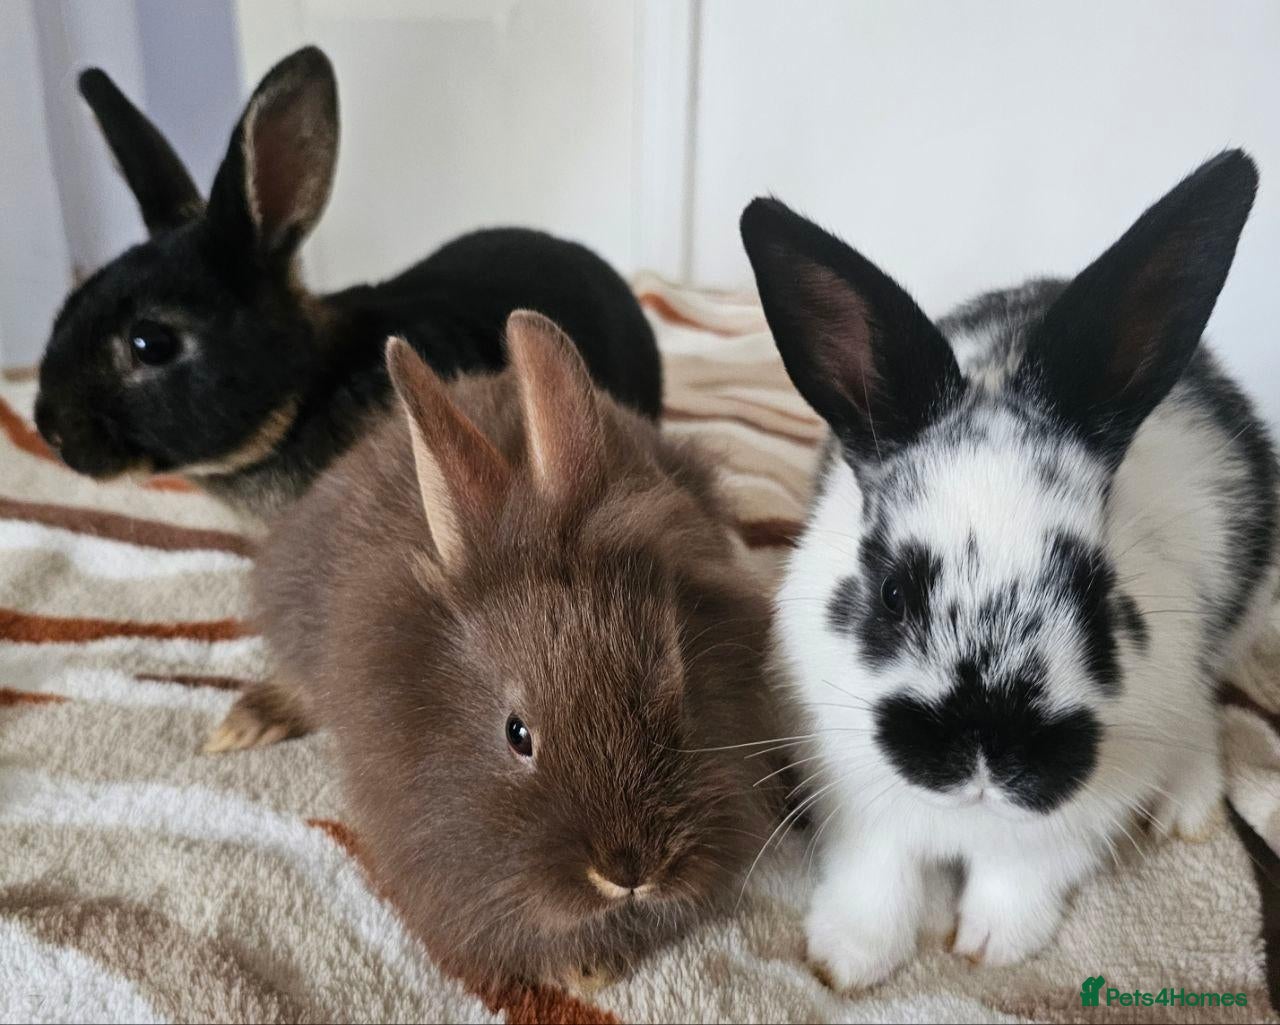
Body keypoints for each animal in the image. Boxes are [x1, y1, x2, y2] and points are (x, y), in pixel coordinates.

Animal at [738, 149, 1278, 990]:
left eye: (1093, 590)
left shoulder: (1069, 821)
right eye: (893, 592)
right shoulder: (852, 791)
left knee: (1201, 712)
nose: (989, 751)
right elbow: (880, 870)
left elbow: (1018, 876)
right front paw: (851, 957)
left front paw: (990, 946)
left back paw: (1186, 805)